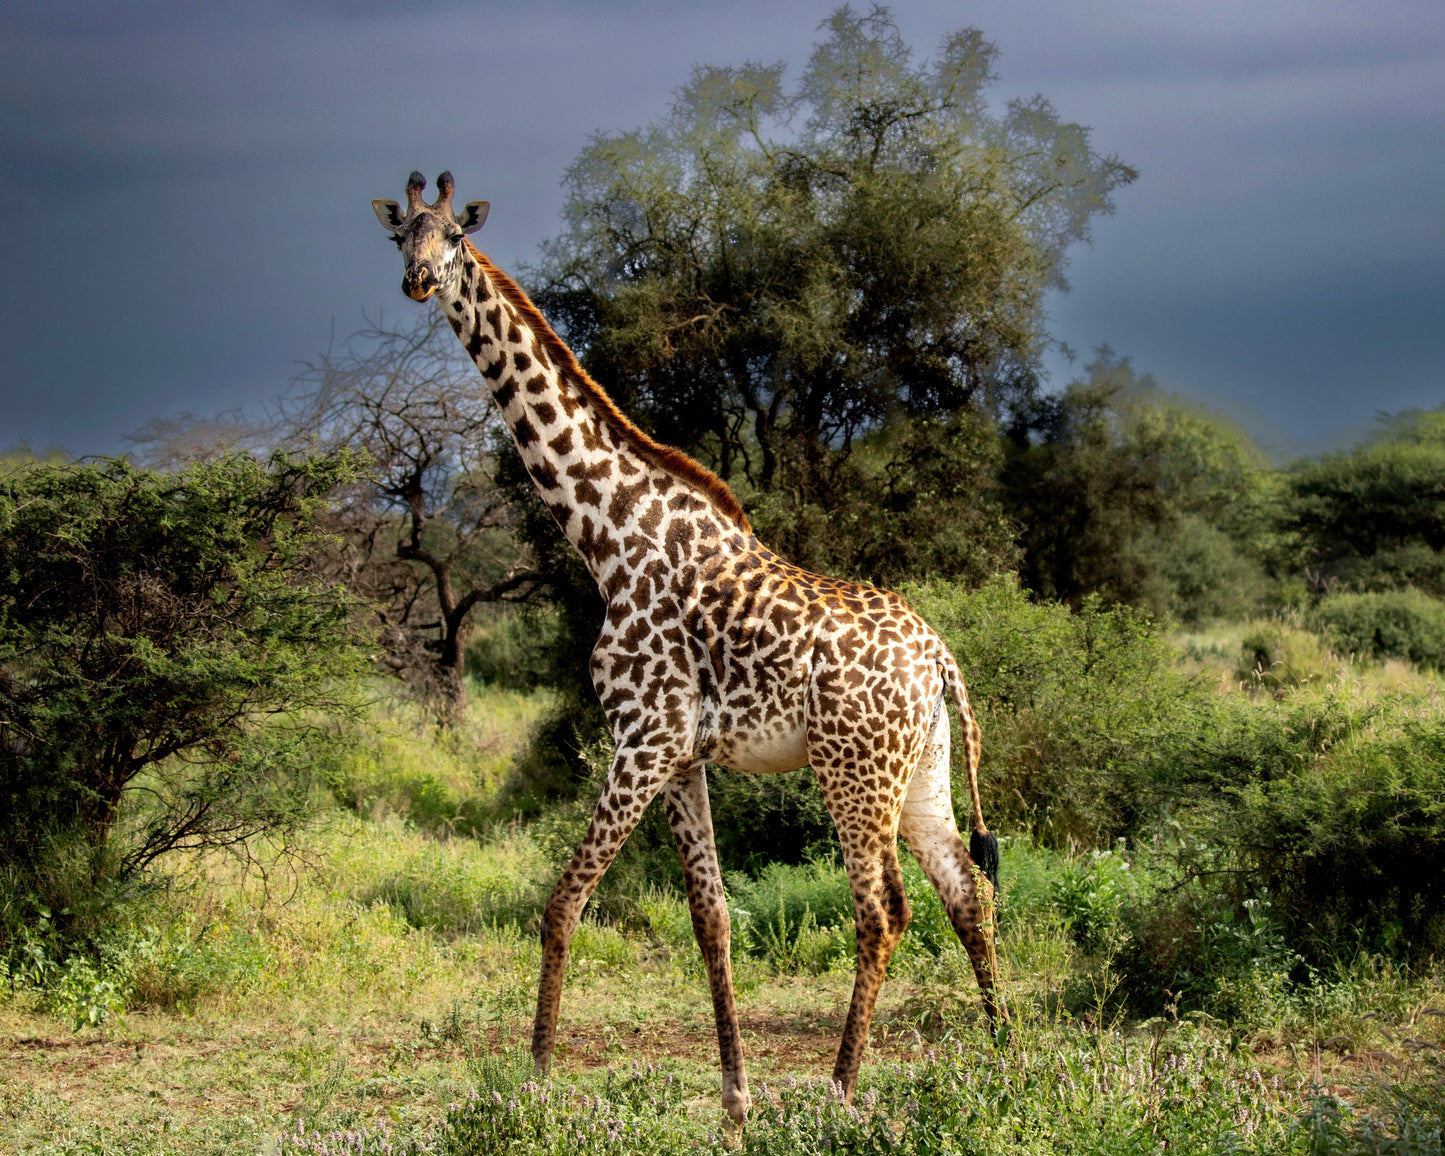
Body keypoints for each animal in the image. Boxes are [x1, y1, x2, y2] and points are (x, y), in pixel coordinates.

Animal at [372, 172, 1007, 1123]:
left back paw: (839, 1088)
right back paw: (1008, 1058)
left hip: (852, 771)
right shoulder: (680, 756)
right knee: (967, 890)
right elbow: (711, 917)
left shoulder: (643, 737)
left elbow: (562, 901)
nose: (416, 281)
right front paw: (734, 1098)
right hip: (920, 769)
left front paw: (533, 1081)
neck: (608, 537)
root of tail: (938, 658)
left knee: (882, 910)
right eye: (397, 236)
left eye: (452, 237)